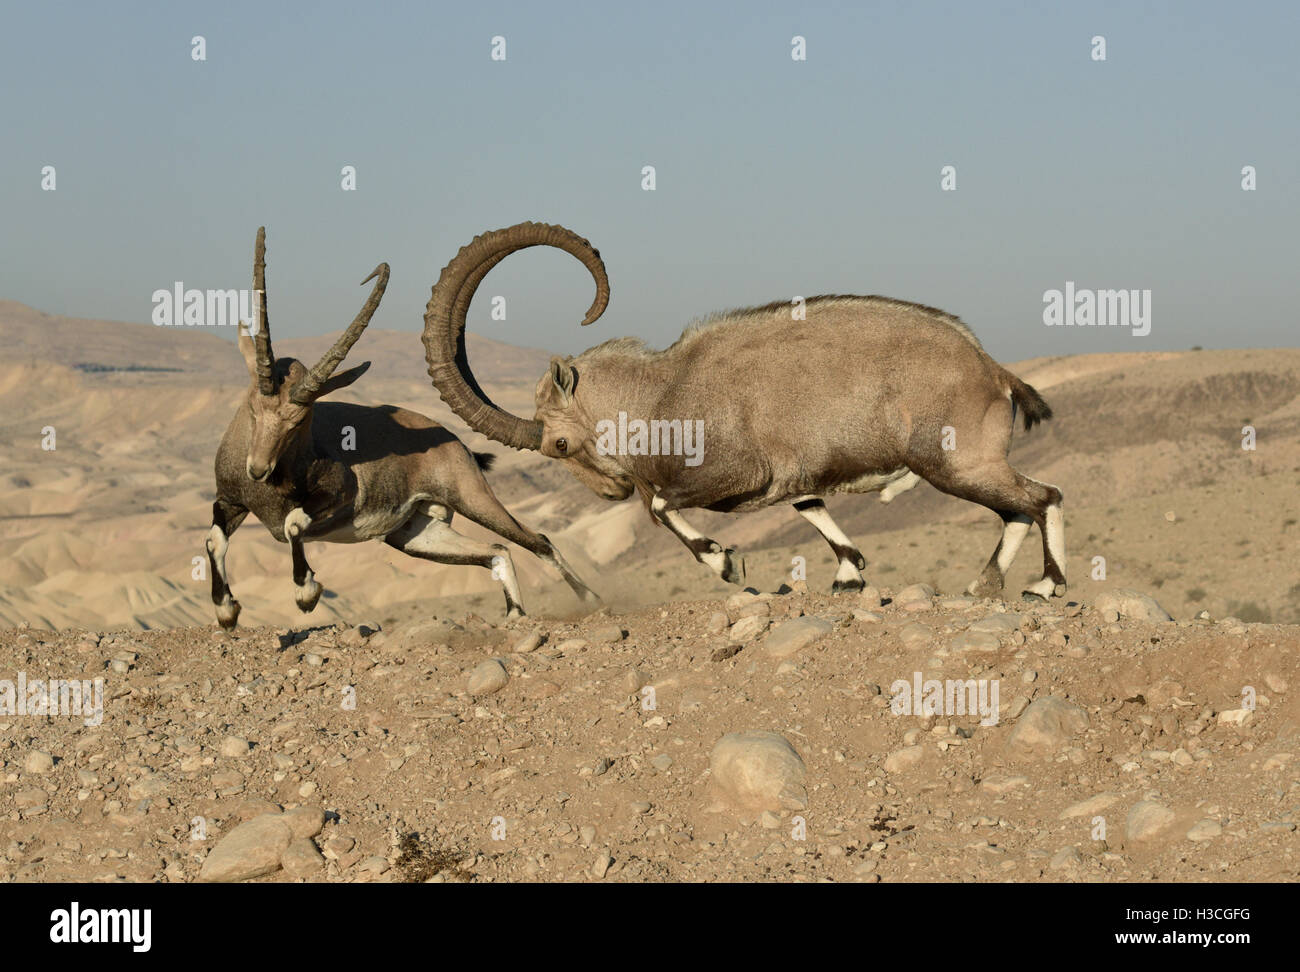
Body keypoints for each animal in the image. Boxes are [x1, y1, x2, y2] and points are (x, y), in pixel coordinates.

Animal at [206, 227, 600, 628]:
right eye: (253, 408)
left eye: (300, 420)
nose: (258, 469)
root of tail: (455, 441)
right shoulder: (229, 501)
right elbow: (214, 540)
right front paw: (226, 610)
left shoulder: (337, 498)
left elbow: (292, 524)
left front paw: (306, 593)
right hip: (414, 534)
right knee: (496, 550)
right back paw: (515, 614)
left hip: (473, 499)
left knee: (538, 541)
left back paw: (591, 599)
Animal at [422, 222, 1065, 600]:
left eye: (558, 442)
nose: (608, 493)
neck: (661, 394)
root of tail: (993, 371)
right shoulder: (790, 477)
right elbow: (810, 508)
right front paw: (849, 573)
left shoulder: (736, 471)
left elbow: (661, 506)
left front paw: (727, 564)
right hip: (967, 469)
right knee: (1017, 508)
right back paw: (986, 584)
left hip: (957, 463)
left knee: (1043, 498)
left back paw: (1045, 586)